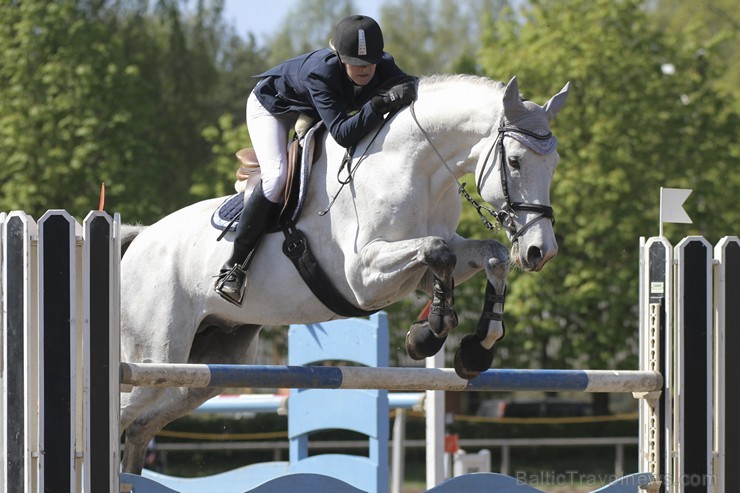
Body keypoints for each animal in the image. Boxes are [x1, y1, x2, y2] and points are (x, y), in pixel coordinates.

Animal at [120, 75, 572, 470]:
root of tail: (137, 243)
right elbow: (436, 251)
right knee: (125, 411)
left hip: (209, 366)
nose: (541, 251)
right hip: (156, 356)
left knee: (139, 426)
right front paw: (427, 334)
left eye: (554, 165)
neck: (416, 170)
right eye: (514, 162)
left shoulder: (423, 272)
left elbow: (488, 255)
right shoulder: (362, 278)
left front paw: (476, 347)